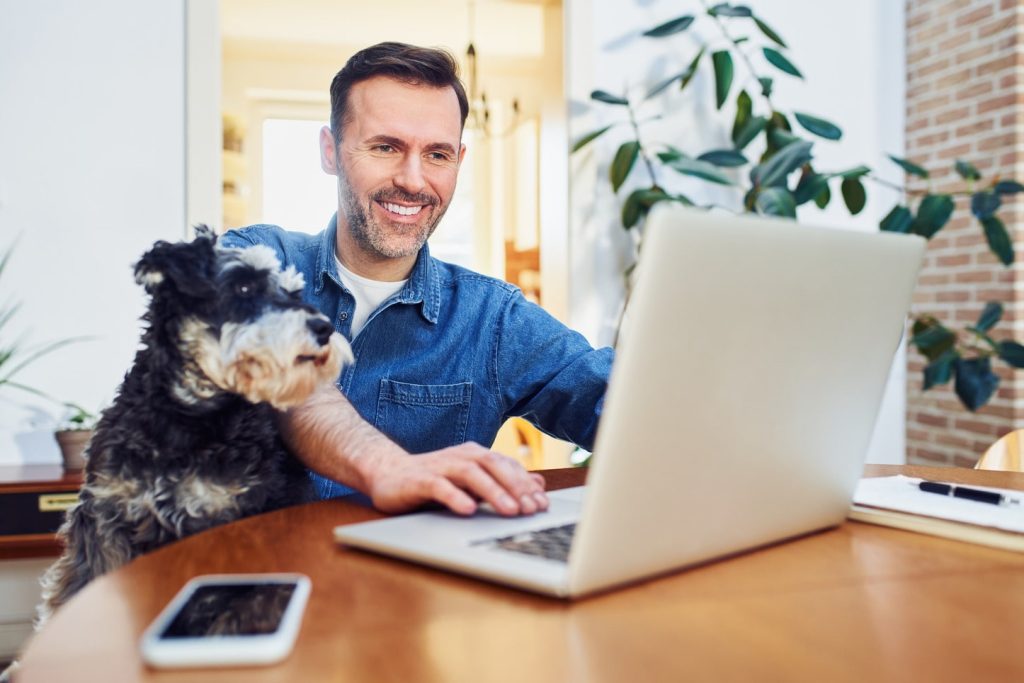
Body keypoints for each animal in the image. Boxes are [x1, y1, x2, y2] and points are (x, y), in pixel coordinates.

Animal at [34, 229, 352, 630]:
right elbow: (83, 583)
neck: (185, 418)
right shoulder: (105, 518)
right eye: (244, 286)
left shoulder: (221, 525)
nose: (324, 329)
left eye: (294, 293)